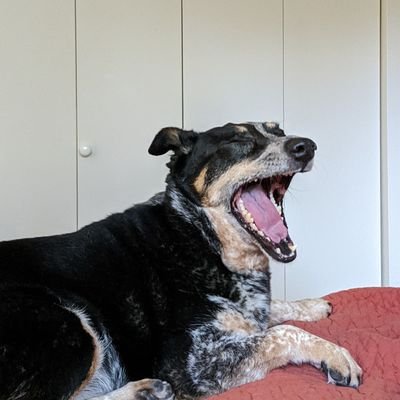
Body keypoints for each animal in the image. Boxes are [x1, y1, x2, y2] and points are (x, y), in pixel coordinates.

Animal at [0, 122, 362, 400]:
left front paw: (313, 305)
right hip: (68, 323)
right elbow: (280, 332)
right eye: (238, 141)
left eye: (280, 131)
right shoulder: (190, 365)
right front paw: (335, 354)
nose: (306, 145)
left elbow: (271, 311)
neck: (198, 235)